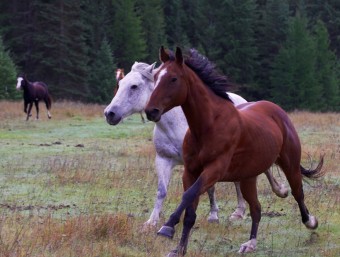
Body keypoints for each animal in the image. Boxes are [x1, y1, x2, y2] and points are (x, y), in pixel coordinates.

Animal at [103, 62, 286, 226]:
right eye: (120, 84)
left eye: (134, 86)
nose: (109, 113)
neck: (177, 125)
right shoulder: (163, 159)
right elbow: (162, 191)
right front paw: (152, 221)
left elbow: (207, 189)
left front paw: (213, 216)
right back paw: (239, 212)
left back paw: (276, 192)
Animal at [145, 47, 326, 255]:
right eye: (155, 76)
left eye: (173, 78)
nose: (151, 111)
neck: (208, 126)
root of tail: (277, 110)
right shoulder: (190, 172)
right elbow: (190, 211)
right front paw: (179, 249)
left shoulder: (215, 170)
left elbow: (189, 195)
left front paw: (167, 227)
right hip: (248, 178)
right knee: (256, 208)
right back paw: (250, 244)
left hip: (290, 164)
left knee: (298, 193)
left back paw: (310, 221)